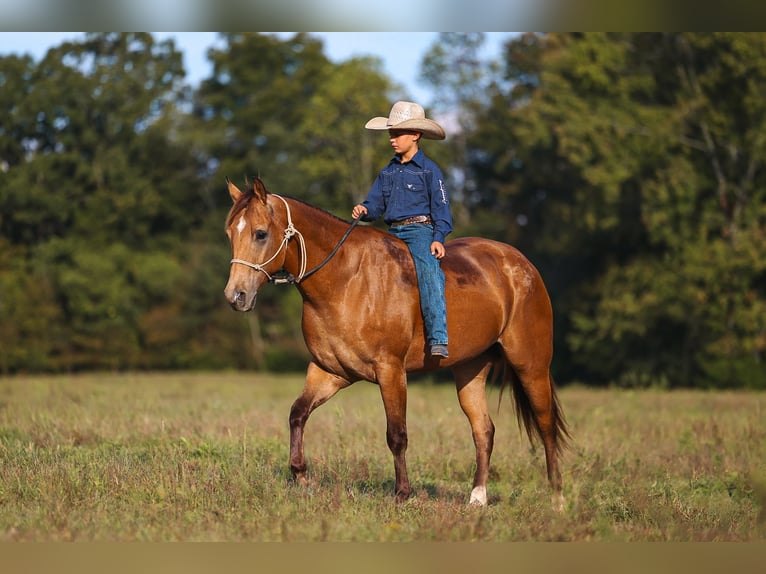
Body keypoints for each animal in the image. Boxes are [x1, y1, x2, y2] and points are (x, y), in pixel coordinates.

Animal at [223, 177, 569, 508]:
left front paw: (402, 493)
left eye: (260, 234)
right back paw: (477, 498)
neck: (346, 280)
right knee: (484, 430)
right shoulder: (330, 371)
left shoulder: (391, 371)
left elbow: (397, 434)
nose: (236, 296)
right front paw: (301, 477)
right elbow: (297, 414)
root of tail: (521, 264)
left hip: (531, 366)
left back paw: (557, 498)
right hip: (470, 370)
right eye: (230, 234)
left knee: (546, 425)